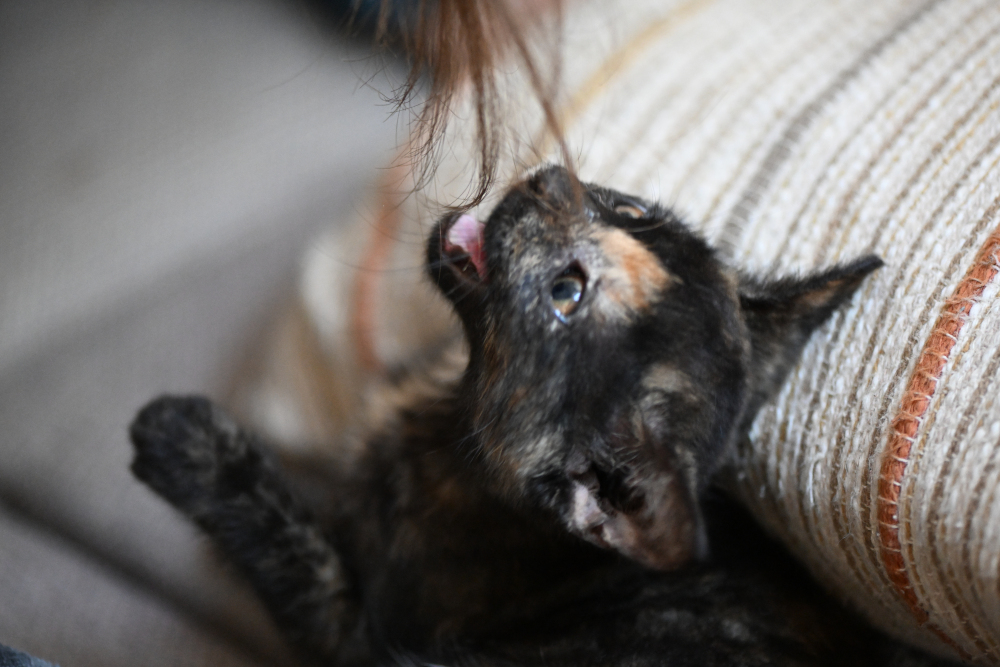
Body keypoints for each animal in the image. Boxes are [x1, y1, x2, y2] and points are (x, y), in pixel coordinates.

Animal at [131, 167, 952, 667]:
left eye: (566, 294)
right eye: (632, 211)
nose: (551, 179)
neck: (455, 404)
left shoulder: (361, 633)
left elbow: (304, 555)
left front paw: (185, 439)